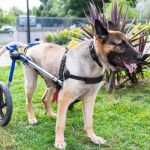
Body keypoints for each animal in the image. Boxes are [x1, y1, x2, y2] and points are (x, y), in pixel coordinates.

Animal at [11, 19, 141, 149]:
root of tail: (30, 47)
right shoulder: (63, 99)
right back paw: (32, 118)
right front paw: (59, 141)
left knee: (45, 99)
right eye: (121, 44)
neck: (93, 58)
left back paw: (51, 114)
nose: (140, 58)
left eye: (130, 42)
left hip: (52, 83)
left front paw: (93, 138)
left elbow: (89, 122)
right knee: (28, 102)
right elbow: (61, 124)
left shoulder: (89, 99)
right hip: (31, 84)